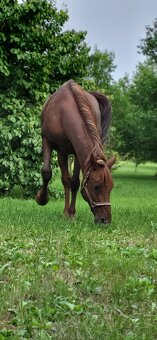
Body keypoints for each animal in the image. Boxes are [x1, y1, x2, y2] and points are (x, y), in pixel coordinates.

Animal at [36, 79, 116, 223]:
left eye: (111, 187)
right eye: (96, 187)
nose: (105, 221)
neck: (64, 112)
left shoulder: (80, 154)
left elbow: (74, 183)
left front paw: (72, 213)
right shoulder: (51, 144)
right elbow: (48, 173)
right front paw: (42, 198)